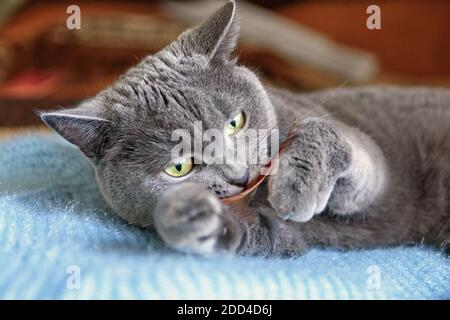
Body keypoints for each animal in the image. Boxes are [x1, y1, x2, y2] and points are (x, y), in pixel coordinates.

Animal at [40, 0, 448, 255]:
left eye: (236, 122)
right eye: (179, 167)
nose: (239, 175)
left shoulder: (371, 165)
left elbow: (328, 136)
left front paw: (295, 186)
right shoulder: (284, 236)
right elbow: (251, 234)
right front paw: (188, 217)